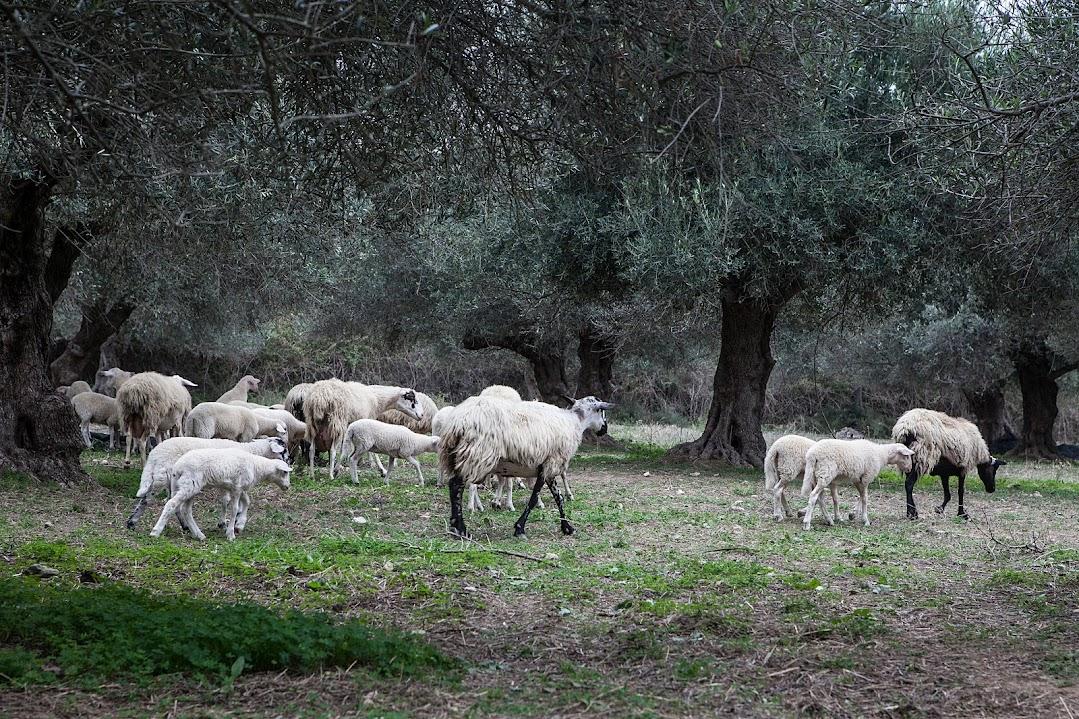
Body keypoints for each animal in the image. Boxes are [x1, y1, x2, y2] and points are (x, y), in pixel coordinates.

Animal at [125, 435, 288, 529]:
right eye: (284, 450)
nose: (290, 460)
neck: (252, 451)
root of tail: (154, 454)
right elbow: (230, 501)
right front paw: (230, 522)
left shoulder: (227, 482)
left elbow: (230, 500)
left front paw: (232, 520)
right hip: (166, 477)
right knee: (157, 500)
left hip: (166, 479)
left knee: (154, 499)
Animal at [148, 449, 291, 541]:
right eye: (285, 472)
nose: (288, 487)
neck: (257, 466)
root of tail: (176, 468)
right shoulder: (237, 488)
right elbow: (234, 509)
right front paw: (231, 534)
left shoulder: (237, 488)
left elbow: (247, 502)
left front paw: (240, 524)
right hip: (190, 485)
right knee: (171, 504)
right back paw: (156, 531)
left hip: (185, 486)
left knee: (185, 510)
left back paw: (199, 535)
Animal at [438, 395, 613, 539]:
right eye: (601, 411)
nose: (604, 430)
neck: (575, 422)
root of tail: (457, 422)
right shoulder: (551, 463)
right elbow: (534, 497)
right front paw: (520, 528)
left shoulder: (547, 466)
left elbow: (558, 497)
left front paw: (567, 527)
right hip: (476, 455)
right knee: (456, 486)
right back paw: (460, 529)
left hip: (457, 457)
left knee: (454, 486)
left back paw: (455, 526)